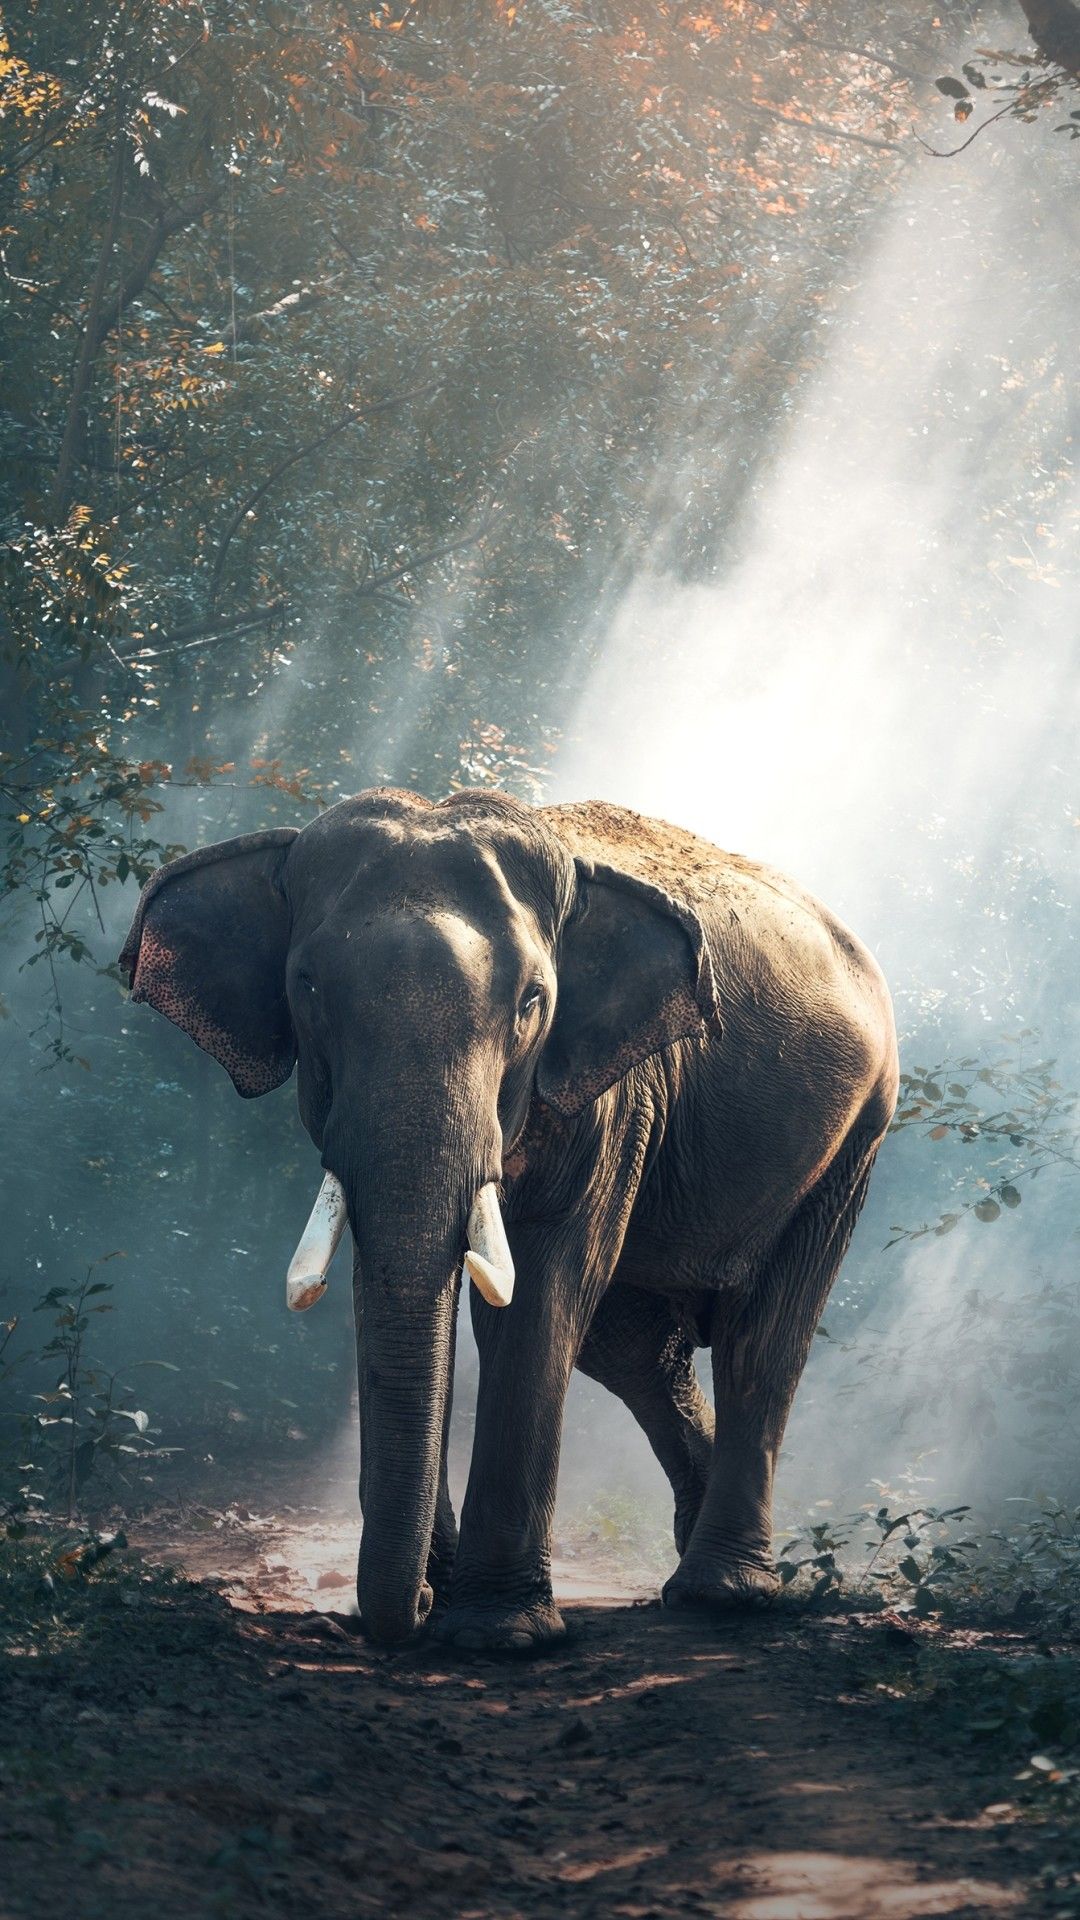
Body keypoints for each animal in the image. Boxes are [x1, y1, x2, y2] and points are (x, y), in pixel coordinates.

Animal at [120, 788, 898, 1651]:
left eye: (532, 1002)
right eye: (308, 988)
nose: (415, 1606)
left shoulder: (615, 1094)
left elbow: (541, 1291)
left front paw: (498, 1634)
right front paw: (447, 1595)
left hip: (855, 1137)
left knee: (762, 1338)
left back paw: (721, 1595)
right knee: (635, 1348)